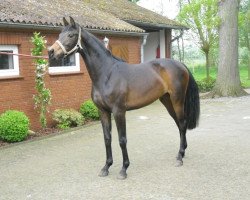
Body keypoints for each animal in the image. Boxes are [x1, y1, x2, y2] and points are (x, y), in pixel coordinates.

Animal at [48, 17, 200, 180]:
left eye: (71, 35)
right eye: (59, 34)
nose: (51, 52)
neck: (106, 73)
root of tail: (180, 64)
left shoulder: (119, 111)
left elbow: (122, 139)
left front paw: (123, 169)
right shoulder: (103, 111)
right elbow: (107, 138)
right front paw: (106, 167)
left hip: (177, 100)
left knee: (182, 124)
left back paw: (180, 157)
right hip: (167, 101)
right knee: (179, 124)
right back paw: (181, 152)